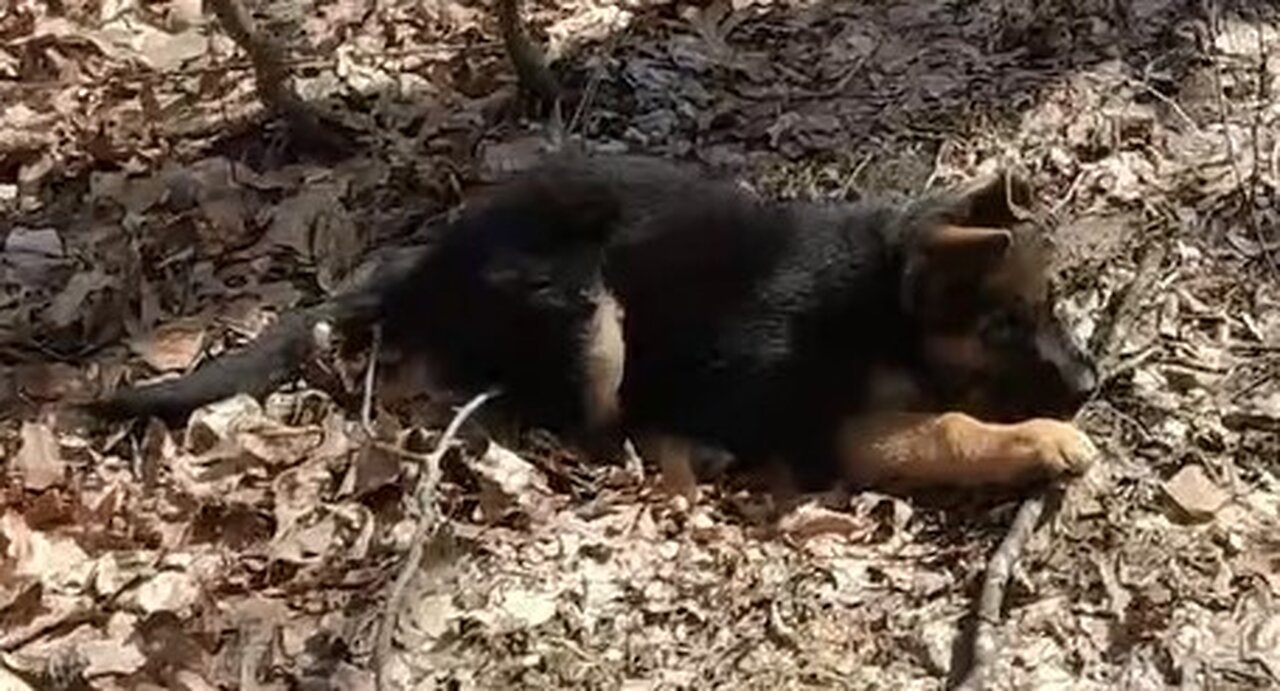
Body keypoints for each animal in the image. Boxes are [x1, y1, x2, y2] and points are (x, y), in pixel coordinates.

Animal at [94, 152, 1100, 496]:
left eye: (1053, 305)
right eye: (1006, 323)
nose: (1093, 385)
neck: (883, 301)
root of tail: (423, 265)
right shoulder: (827, 420)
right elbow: (946, 424)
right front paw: (1041, 440)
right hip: (592, 313)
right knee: (594, 421)